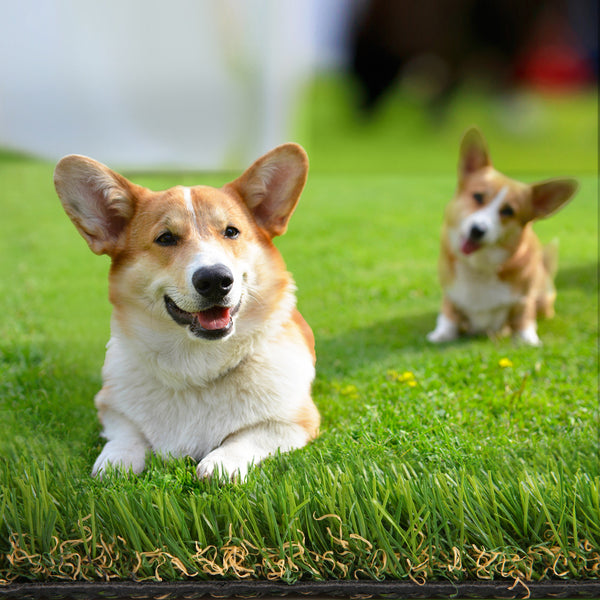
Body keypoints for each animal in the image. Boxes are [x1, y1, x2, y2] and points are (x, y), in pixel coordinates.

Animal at [54, 143, 322, 480]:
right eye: (166, 238)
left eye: (231, 232)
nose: (215, 280)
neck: (196, 369)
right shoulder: (110, 408)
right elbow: (126, 433)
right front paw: (116, 459)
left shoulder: (295, 421)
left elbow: (246, 437)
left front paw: (220, 462)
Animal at [426, 129, 576, 350]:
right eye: (478, 197)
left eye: (508, 211)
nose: (477, 230)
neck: (480, 267)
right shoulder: (450, 295)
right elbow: (448, 315)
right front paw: (442, 334)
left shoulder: (524, 299)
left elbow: (524, 319)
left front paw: (527, 340)